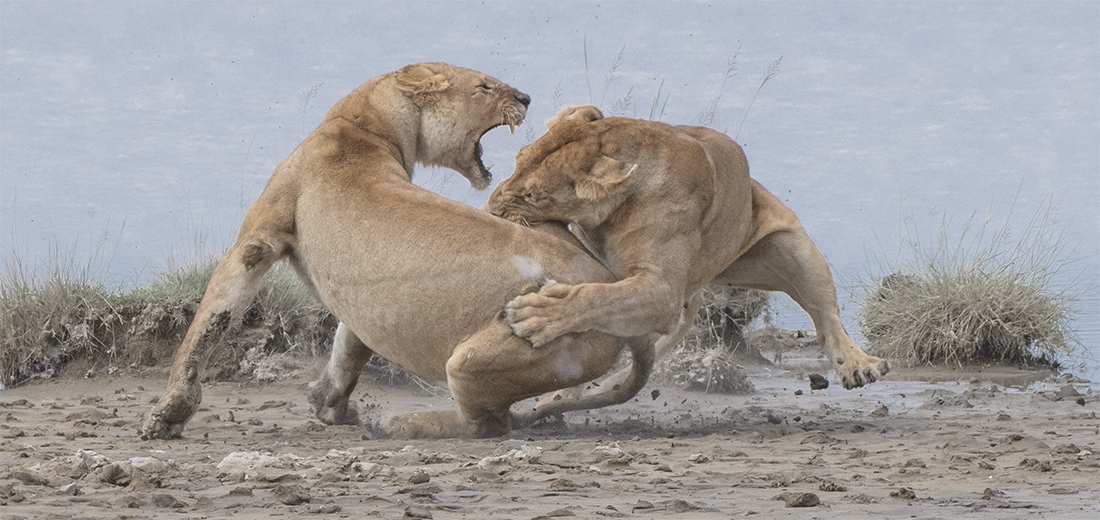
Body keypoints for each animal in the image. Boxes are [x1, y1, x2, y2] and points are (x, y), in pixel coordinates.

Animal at [140, 65, 655, 440]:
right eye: (484, 85)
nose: (527, 98)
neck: (363, 126)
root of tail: (612, 288)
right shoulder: (362, 300)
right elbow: (350, 344)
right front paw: (328, 404)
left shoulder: (257, 240)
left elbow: (208, 324)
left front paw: (168, 415)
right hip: (538, 221)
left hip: (479, 356)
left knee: (489, 423)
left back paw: (402, 424)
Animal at [487, 106, 889, 391]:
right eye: (518, 159)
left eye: (531, 196)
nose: (490, 209)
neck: (611, 214)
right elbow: (598, 292)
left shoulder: (663, 290)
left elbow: (598, 298)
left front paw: (537, 315)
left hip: (795, 250)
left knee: (827, 318)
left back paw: (859, 365)